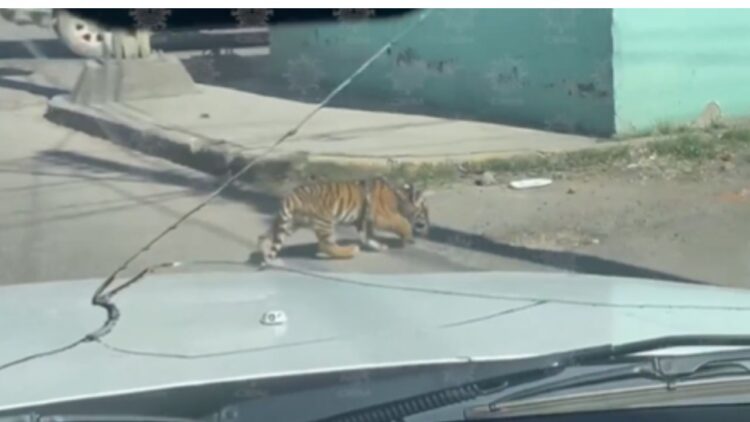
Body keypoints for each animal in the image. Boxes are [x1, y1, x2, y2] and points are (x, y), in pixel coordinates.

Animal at [256, 177, 432, 264]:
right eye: (425, 211)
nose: (429, 227)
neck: (399, 197)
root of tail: (291, 197)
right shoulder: (383, 216)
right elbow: (402, 222)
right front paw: (408, 237)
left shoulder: (364, 221)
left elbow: (368, 237)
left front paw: (379, 245)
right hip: (325, 220)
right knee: (326, 245)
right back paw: (350, 250)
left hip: (291, 223)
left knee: (265, 235)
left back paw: (262, 250)